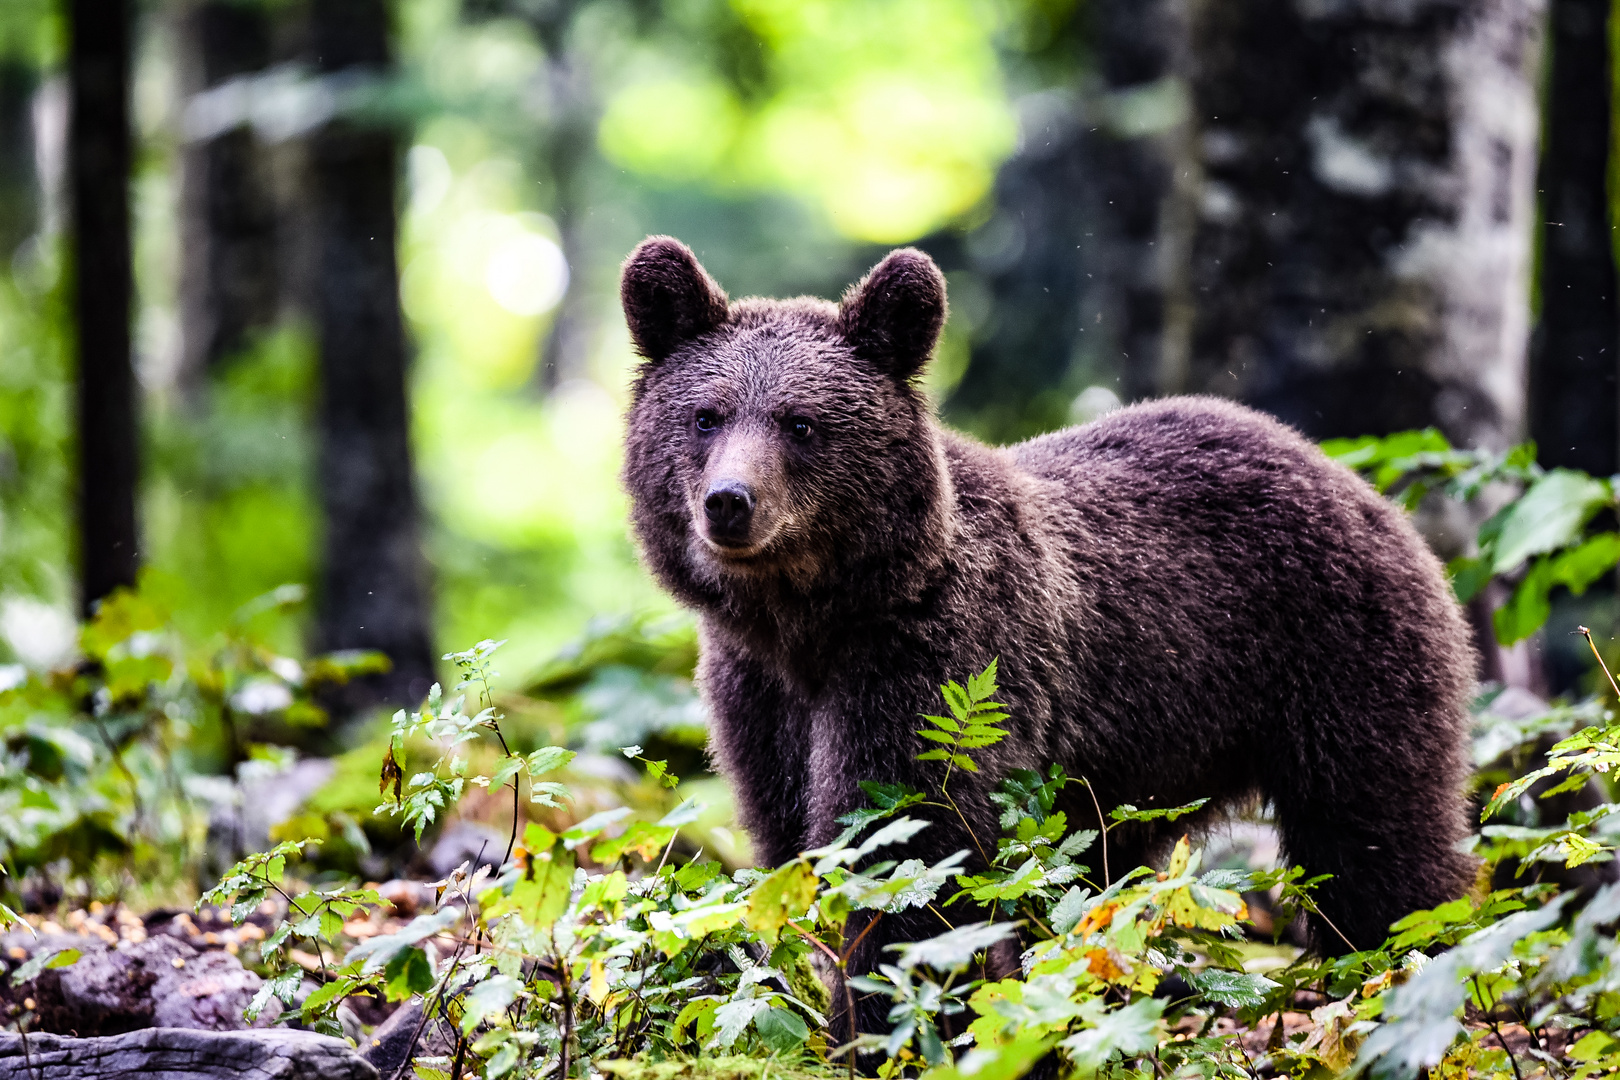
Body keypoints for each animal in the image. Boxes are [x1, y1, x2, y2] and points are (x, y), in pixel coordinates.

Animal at [618, 236, 1483, 1023]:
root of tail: (1351, 477)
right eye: (705, 415)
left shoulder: (932, 667)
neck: (815, 619)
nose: (730, 502)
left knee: (1375, 844)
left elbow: (907, 857)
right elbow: (794, 843)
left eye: (801, 423)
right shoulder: (758, 698)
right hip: (1139, 761)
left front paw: (897, 1022)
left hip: (1340, 659)